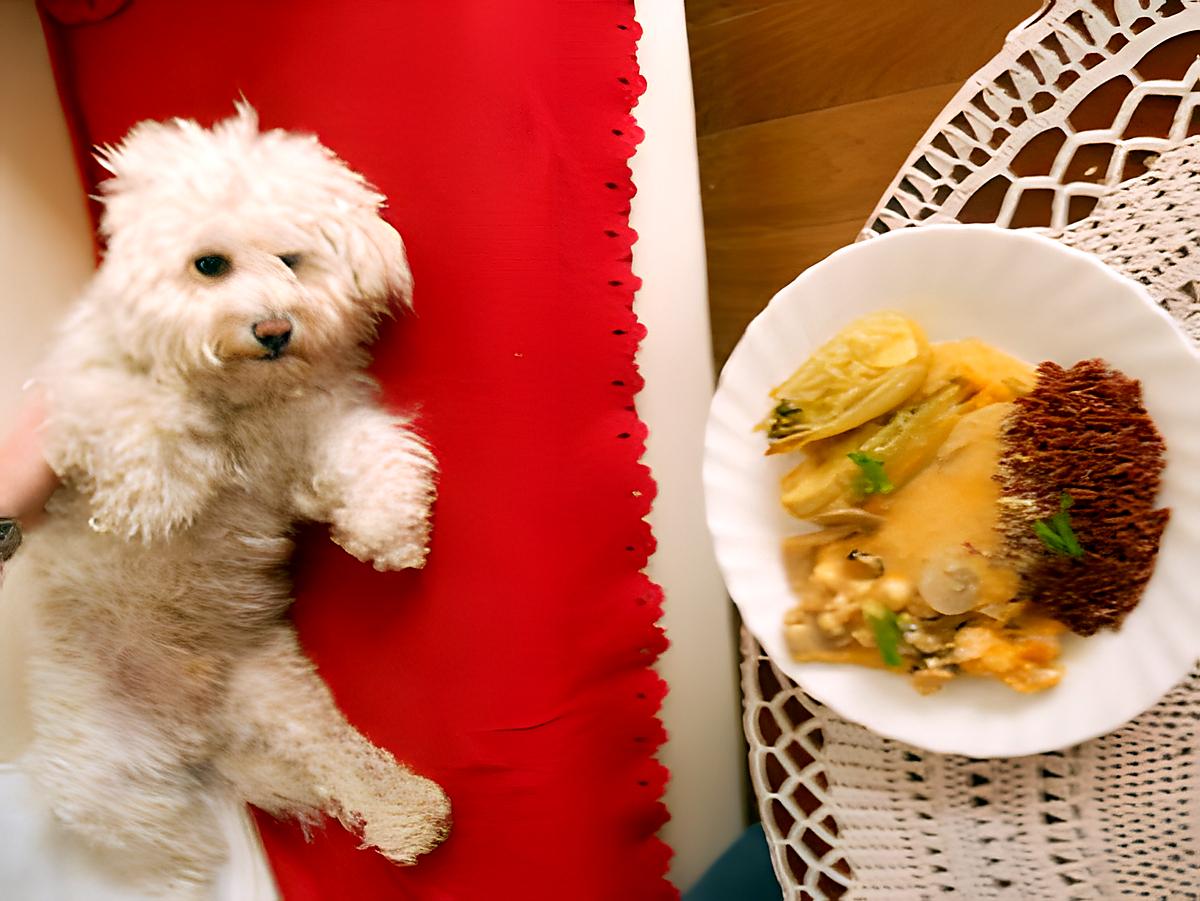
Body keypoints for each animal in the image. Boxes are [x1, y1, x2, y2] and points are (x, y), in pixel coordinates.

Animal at [2, 103, 451, 897]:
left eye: (293, 260)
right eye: (208, 264)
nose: (274, 328)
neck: (238, 400)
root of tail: (192, 730)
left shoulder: (311, 434)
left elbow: (369, 451)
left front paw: (390, 528)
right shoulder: (72, 405)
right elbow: (139, 417)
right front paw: (162, 489)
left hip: (281, 697)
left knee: (337, 764)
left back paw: (411, 816)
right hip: (101, 775)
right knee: (152, 832)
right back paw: (191, 865)